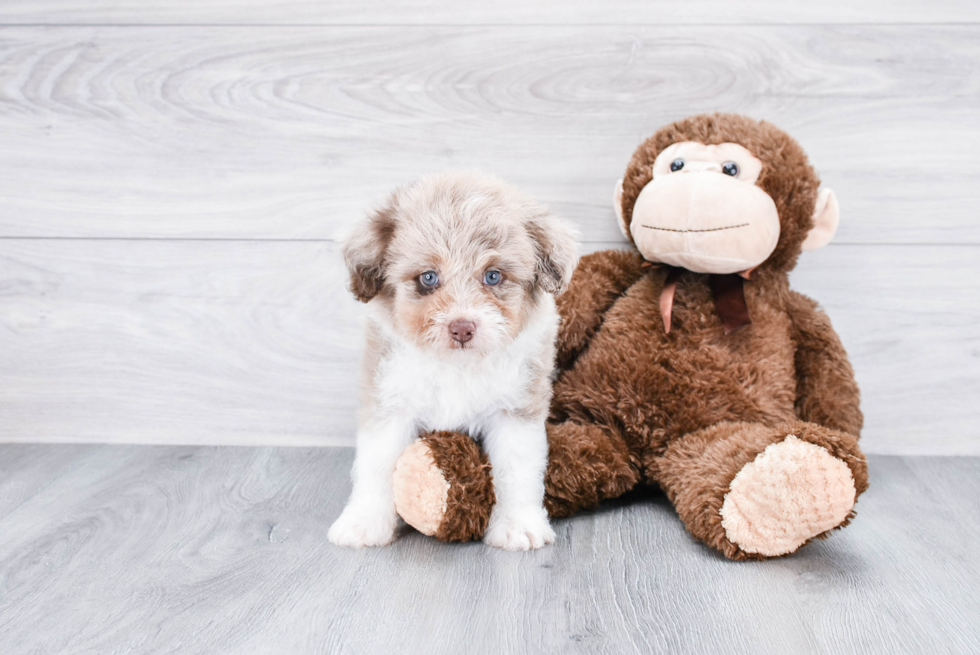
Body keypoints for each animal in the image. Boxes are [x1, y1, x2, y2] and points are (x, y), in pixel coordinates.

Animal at [330, 172, 580, 552]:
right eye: (428, 277)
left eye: (493, 276)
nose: (462, 327)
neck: (456, 365)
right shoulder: (390, 402)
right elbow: (377, 466)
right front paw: (365, 522)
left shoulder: (515, 410)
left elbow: (517, 471)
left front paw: (517, 524)